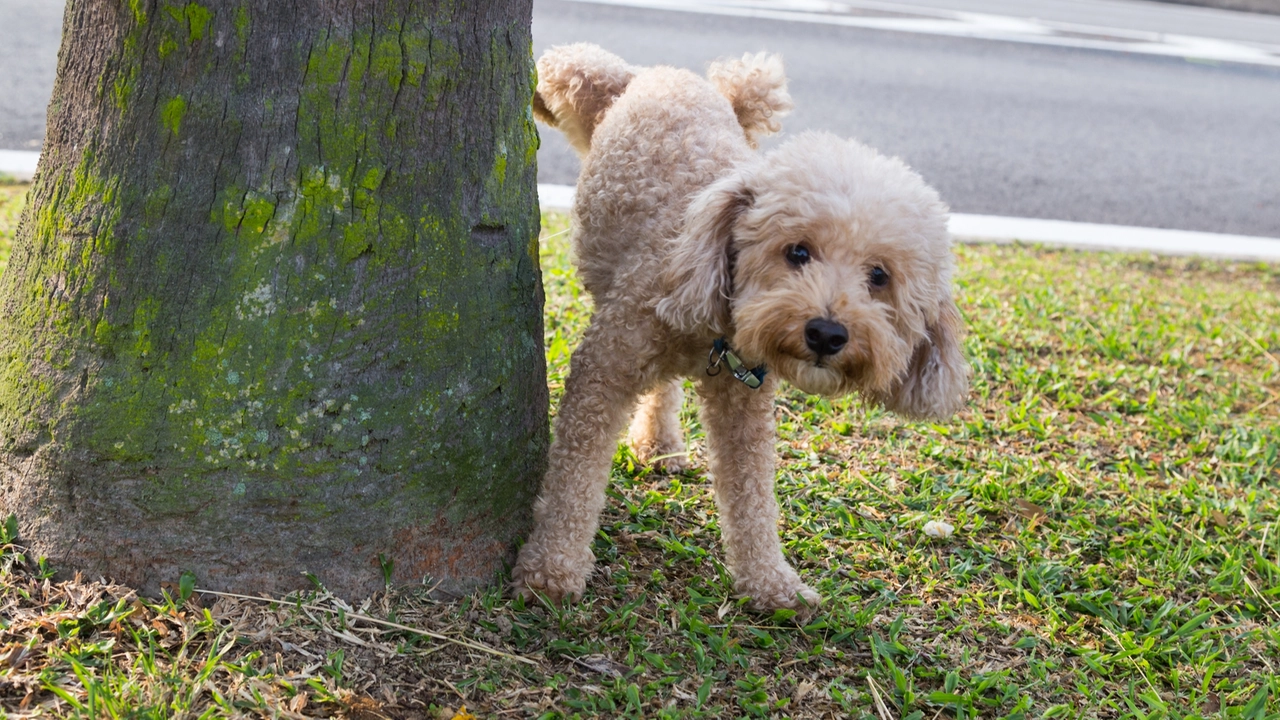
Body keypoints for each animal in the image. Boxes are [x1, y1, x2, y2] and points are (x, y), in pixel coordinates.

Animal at [514, 41, 962, 607]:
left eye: (879, 276)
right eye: (797, 251)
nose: (827, 334)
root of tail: (670, 76)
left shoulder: (743, 401)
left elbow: (751, 495)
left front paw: (771, 581)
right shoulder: (605, 368)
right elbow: (574, 477)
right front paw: (552, 567)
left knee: (664, 390)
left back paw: (660, 443)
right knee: (573, 61)